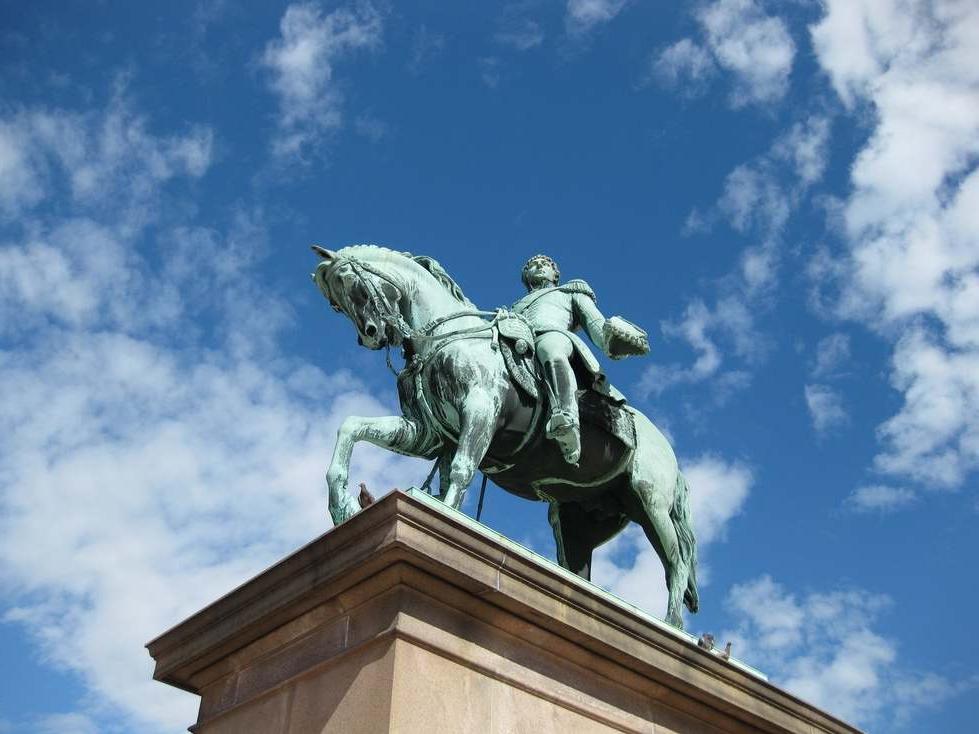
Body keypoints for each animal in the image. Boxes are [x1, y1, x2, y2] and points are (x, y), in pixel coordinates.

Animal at [310, 244, 700, 628]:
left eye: (352, 286)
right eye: (335, 303)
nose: (371, 334)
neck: (445, 338)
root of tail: (670, 454)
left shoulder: (480, 411)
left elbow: (462, 469)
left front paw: (446, 520)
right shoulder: (426, 434)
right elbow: (352, 427)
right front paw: (343, 505)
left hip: (649, 502)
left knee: (675, 562)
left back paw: (671, 622)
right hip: (576, 517)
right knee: (578, 565)